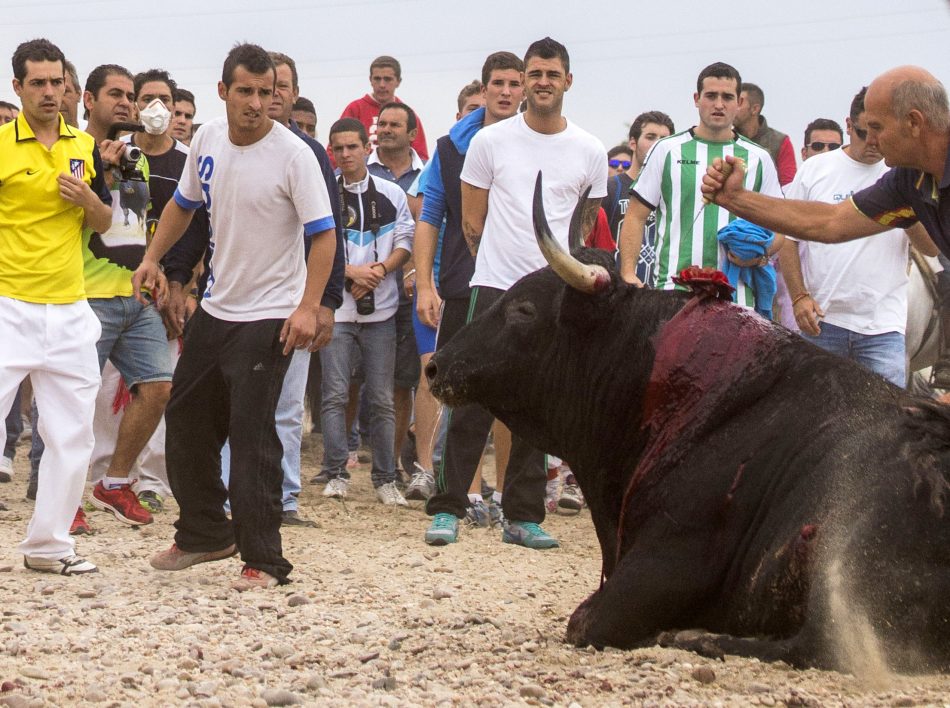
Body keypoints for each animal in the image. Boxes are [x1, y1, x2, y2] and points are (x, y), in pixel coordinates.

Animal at [428, 174, 950, 672]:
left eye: (523, 309)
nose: (435, 366)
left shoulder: (669, 560)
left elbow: (586, 621)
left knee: (816, 646)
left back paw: (694, 637)